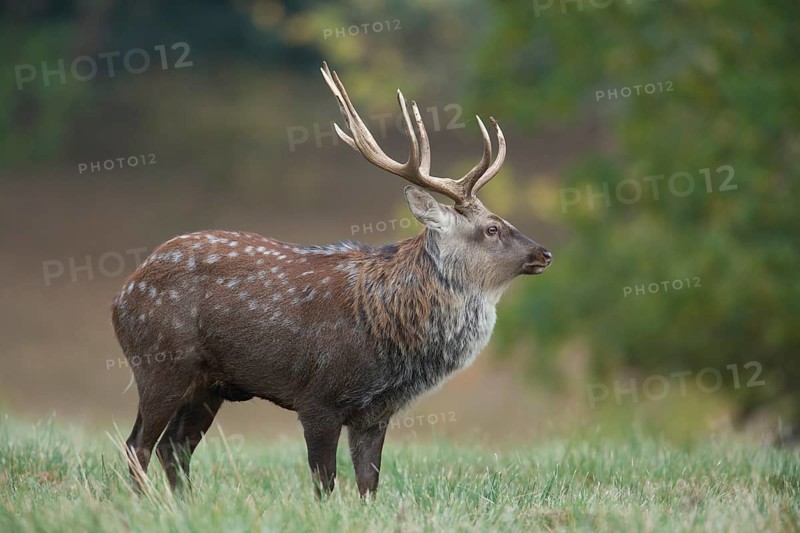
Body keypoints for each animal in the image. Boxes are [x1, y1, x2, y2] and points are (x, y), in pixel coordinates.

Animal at [111, 62, 552, 498]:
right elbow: (324, 480)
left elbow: (369, 483)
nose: (544, 253)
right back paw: (145, 504)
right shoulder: (317, 399)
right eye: (492, 229)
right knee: (138, 445)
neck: (390, 328)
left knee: (174, 447)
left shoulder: (376, 411)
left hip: (208, 385)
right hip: (160, 364)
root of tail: (121, 296)